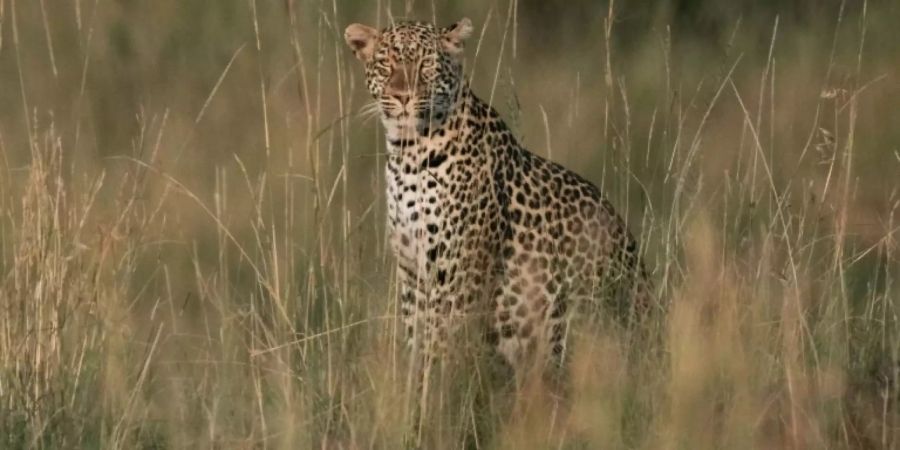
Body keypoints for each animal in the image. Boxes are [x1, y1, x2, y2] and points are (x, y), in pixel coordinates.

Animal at [344, 17, 652, 376]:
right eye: (385, 64)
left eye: (426, 65)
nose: (402, 96)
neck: (408, 155)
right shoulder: (412, 275)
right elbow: (417, 344)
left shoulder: (459, 273)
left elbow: (439, 348)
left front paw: (433, 387)